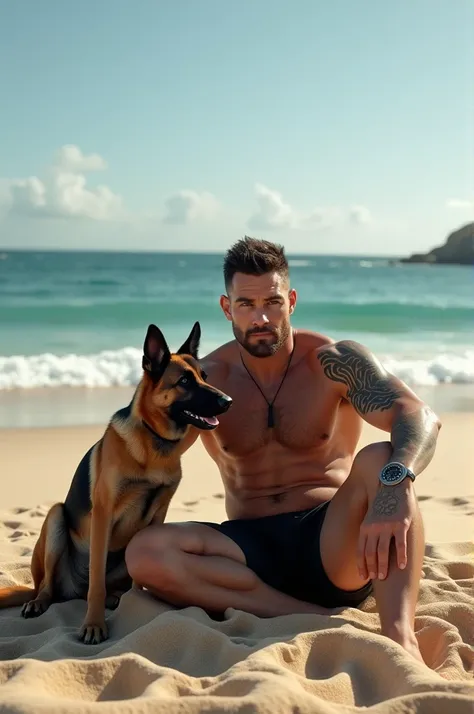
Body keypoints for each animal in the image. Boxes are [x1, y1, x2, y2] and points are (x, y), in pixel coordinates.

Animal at [0, 322, 231, 644]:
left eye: (204, 377)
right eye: (185, 381)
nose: (228, 401)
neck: (152, 443)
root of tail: (72, 590)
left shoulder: (157, 516)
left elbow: (137, 577)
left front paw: (135, 602)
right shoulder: (104, 513)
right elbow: (97, 582)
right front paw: (94, 624)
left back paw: (117, 597)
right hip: (56, 519)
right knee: (49, 586)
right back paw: (40, 601)